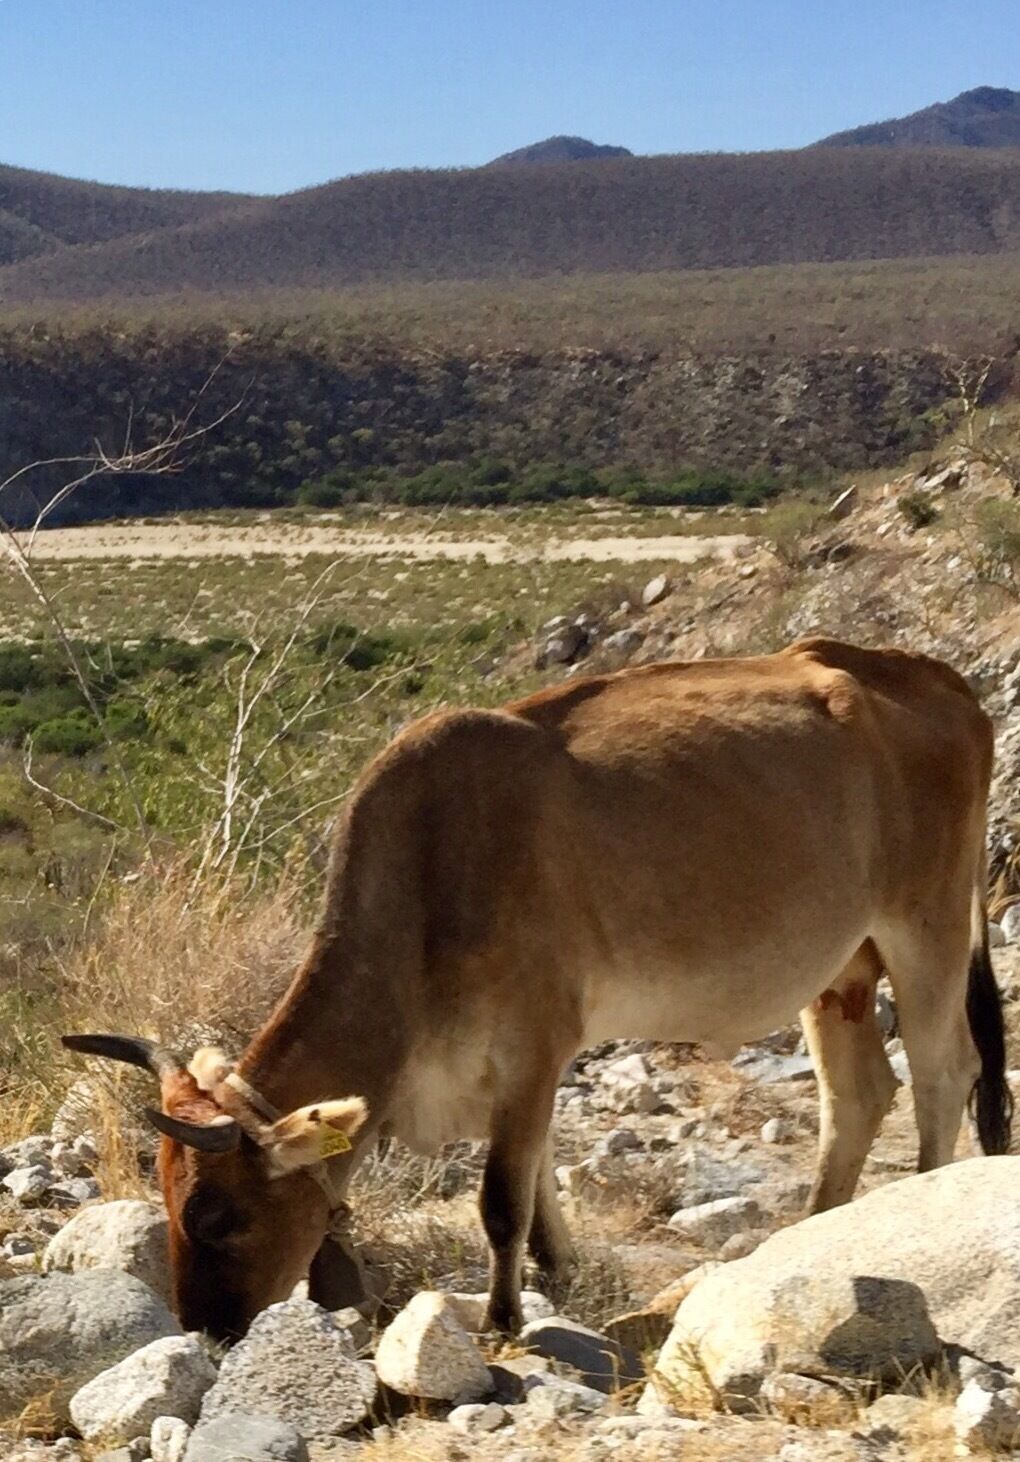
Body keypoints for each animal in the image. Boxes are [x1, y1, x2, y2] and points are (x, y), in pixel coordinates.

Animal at [64, 637, 1012, 1342]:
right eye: (165, 1198)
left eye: (218, 1216)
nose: (204, 1329)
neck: (430, 872)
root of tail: (934, 678)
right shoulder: (521, 1066)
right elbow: (541, 1175)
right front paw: (557, 1273)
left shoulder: (533, 1044)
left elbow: (500, 1197)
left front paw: (503, 1317)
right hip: (842, 967)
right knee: (860, 1094)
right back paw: (814, 1232)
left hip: (925, 928)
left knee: (942, 1075)